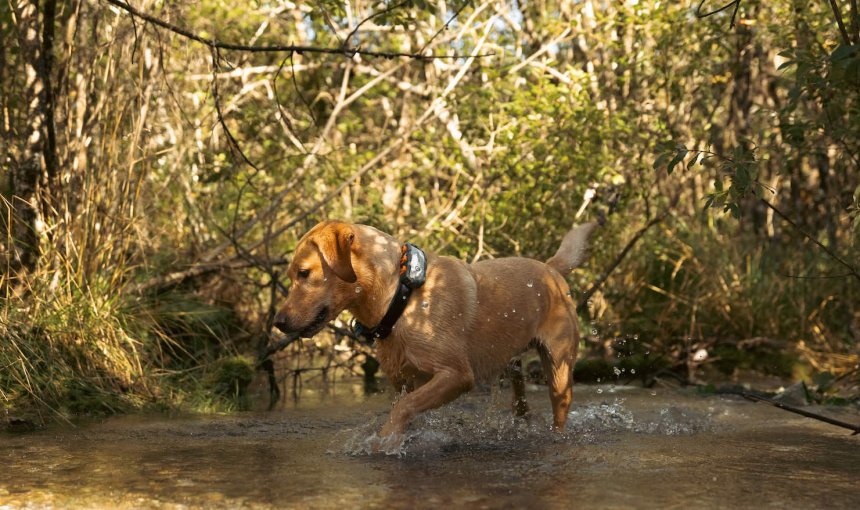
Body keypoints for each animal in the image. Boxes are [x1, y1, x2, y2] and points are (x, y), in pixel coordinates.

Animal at [272, 221, 596, 436]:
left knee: (559, 407)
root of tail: (551, 268)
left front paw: (384, 441)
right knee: (521, 403)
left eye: (304, 273)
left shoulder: (457, 375)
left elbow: (402, 409)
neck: (401, 297)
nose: (278, 322)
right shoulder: (404, 381)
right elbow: (408, 406)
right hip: (513, 367)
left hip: (559, 369)